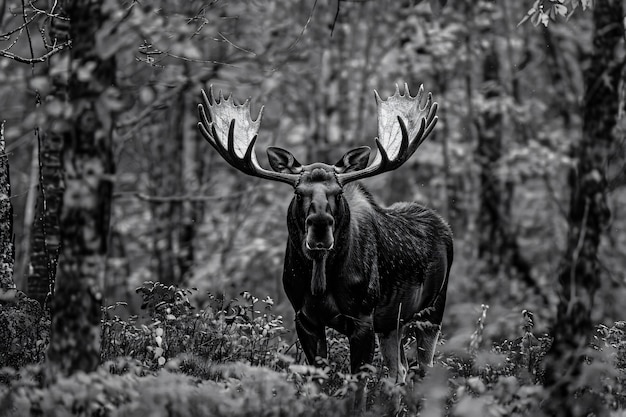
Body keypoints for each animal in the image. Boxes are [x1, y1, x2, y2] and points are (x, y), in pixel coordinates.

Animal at [197, 83, 450, 406]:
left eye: (337, 191)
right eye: (298, 192)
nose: (319, 224)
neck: (320, 280)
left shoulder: (363, 319)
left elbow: (358, 388)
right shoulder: (305, 318)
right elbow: (316, 381)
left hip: (432, 312)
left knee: (424, 373)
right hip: (392, 322)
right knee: (399, 373)